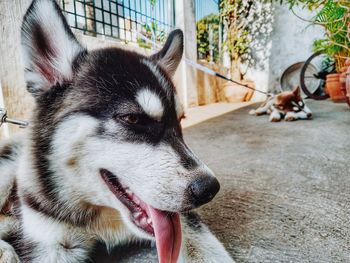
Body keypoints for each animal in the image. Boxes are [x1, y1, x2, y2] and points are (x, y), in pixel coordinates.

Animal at [0, 0, 235, 263]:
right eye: (132, 118)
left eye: (181, 120)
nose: (208, 188)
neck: (105, 216)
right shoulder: (50, 241)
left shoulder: (183, 218)